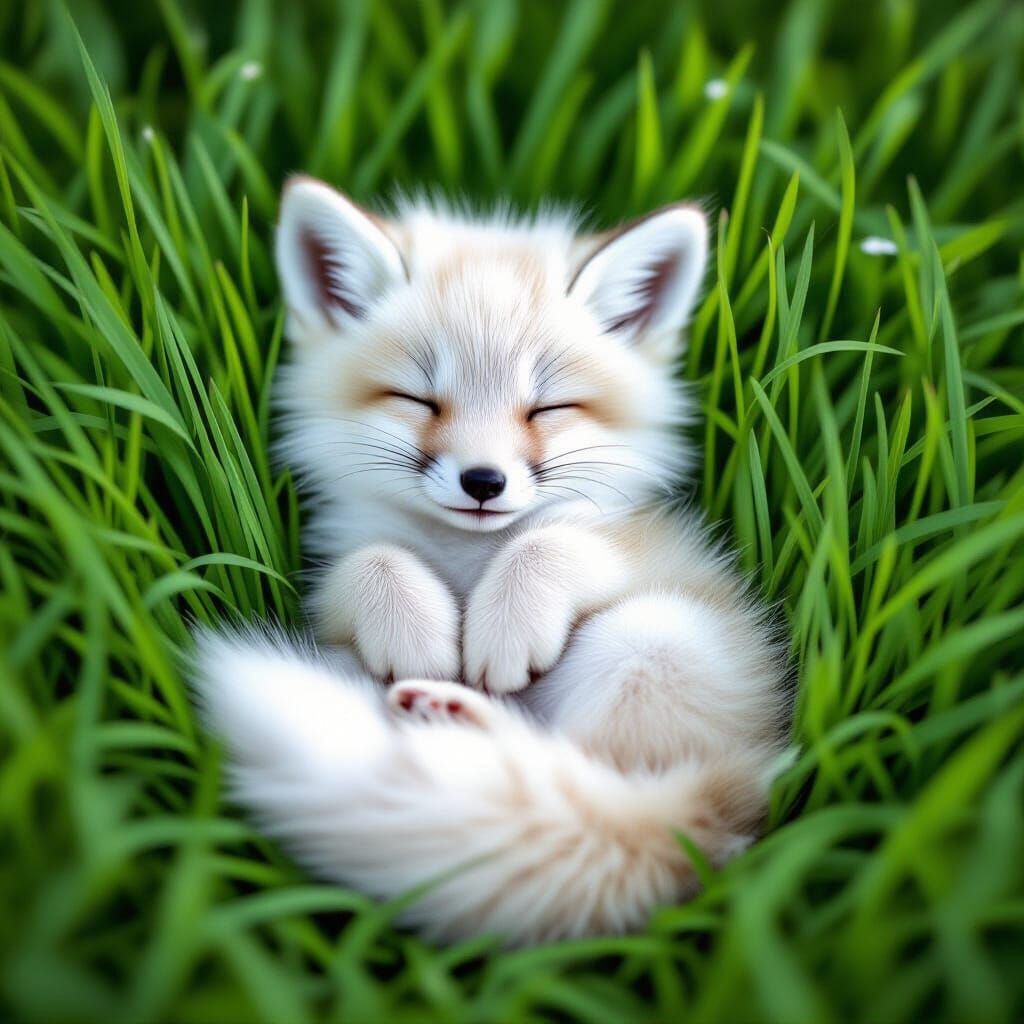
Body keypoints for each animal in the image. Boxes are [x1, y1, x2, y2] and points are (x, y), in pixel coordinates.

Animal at [193, 176, 791, 945]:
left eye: (547, 408)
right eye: (418, 398)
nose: (483, 482)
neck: (470, 558)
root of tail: (727, 812)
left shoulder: (632, 539)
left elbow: (549, 543)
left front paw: (503, 630)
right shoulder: (333, 573)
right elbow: (372, 561)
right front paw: (418, 635)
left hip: (649, 641)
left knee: (574, 775)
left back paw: (461, 715)